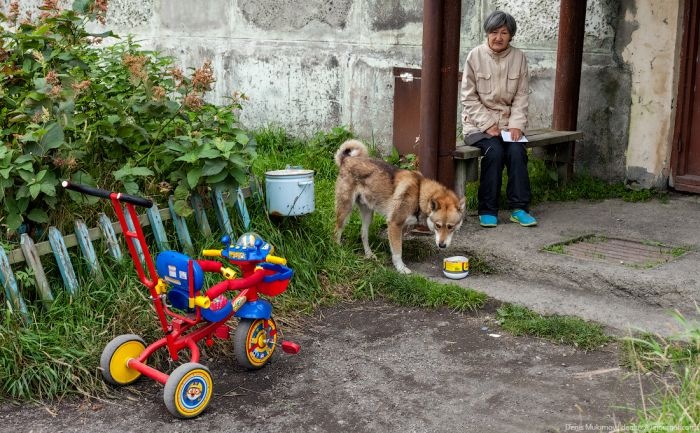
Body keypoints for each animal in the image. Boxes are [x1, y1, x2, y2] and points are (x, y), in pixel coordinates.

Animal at [334, 139, 464, 274]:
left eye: (451, 227)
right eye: (438, 225)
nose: (442, 245)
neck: (419, 193)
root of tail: (346, 159)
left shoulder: (400, 227)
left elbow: (397, 246)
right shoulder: (394, 224)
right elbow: (397, 251)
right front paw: (401, 268)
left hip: (368, 214)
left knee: (363, 234)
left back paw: (369, 255)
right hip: (345, 211)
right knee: (337, 231)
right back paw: (338, 250)